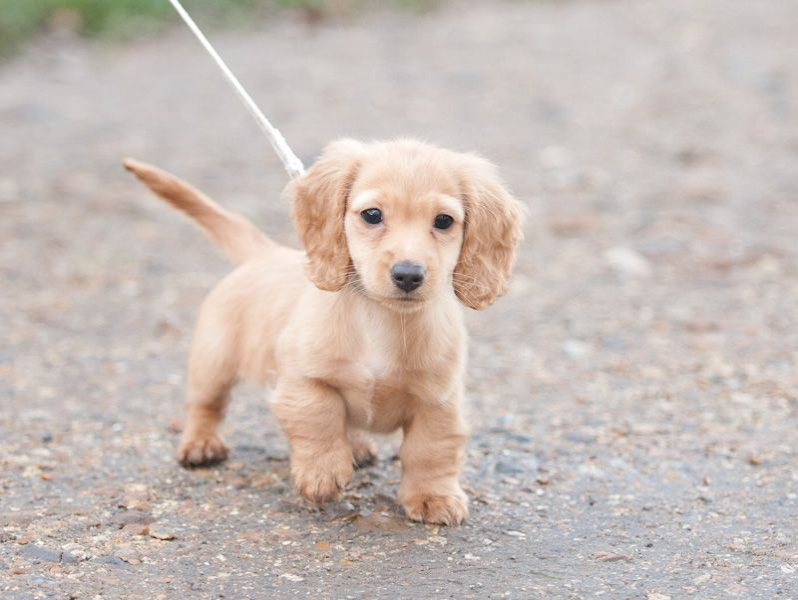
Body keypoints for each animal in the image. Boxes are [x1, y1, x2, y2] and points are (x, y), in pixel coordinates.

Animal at [125, 138, 524, 524]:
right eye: (372, 215)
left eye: (443, 221)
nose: (408, 275)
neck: (381, 319)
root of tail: (264, 253)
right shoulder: (303, 378)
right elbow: (320, 415)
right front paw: (322, 473)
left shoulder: (439, 400)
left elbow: (431, 450)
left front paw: (432, 497)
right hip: (213, 360)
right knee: (205, 405)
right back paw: (200, 444)